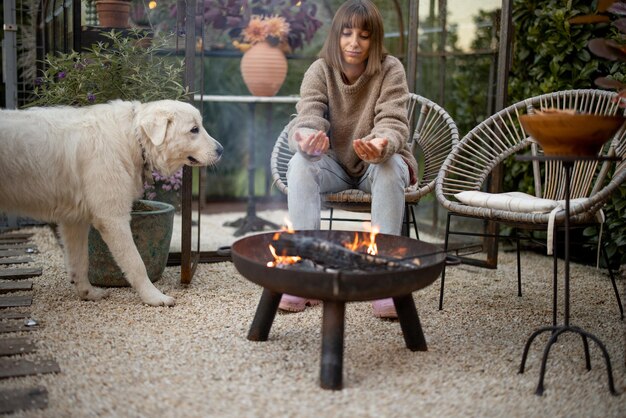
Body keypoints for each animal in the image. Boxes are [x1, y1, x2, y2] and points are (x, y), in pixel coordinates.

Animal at [0, 99, 223, 306]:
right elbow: (136, 263)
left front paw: (88, 293)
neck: (133, 137)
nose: (221, 150)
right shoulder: (112, 219)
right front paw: (153, 297)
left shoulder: (74, 221)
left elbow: (80, 262)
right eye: (194, 129)